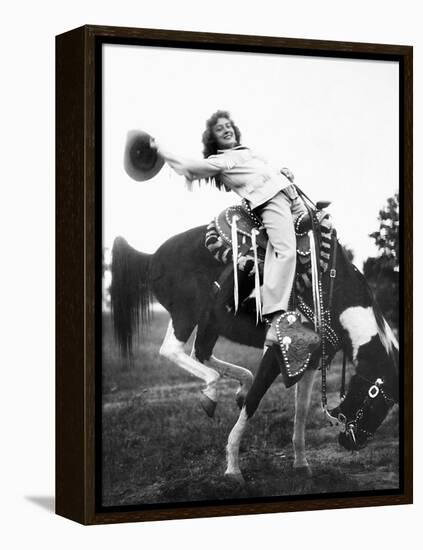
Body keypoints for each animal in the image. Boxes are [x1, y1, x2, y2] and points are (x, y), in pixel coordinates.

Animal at [110, 211, 400, 484]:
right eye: (378, 398)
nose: (353, 442)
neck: (327, 290)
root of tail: (152, 257)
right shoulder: (276, 352)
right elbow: (254, 401)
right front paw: (232, 468)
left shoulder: (311, 360)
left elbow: (301, 412)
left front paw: (301, 465)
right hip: (186, 314)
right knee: (172, 350)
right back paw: (212, 393)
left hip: (209, 323)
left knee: (200, 353)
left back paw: (234, 385)